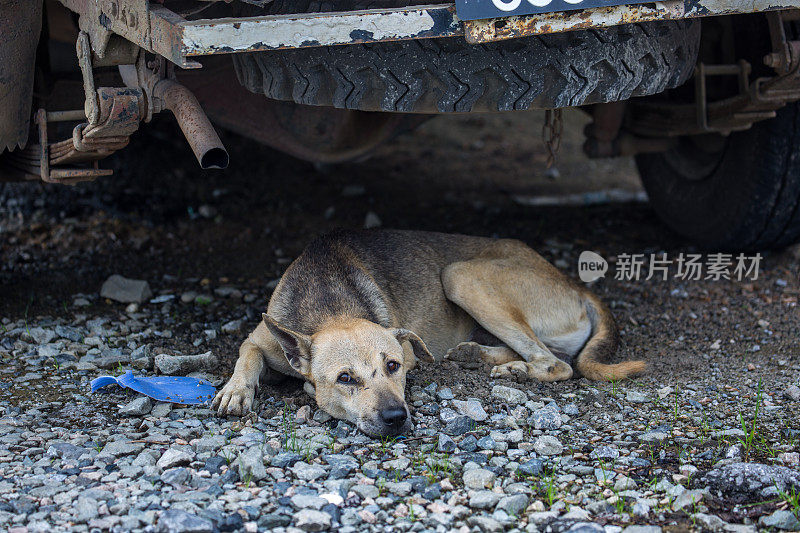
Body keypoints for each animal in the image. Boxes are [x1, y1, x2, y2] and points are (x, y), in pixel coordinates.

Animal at [211, 231, 644, 434]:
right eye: (345, 379)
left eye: (394, 366)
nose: (395, 417)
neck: (331, 308)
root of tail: (574, 283)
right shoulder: (259, 339)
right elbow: (247, 356)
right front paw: (235, 390)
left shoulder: (411, 351)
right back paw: (477, 355)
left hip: (461, 275)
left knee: (557, 363)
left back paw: (513, 369)